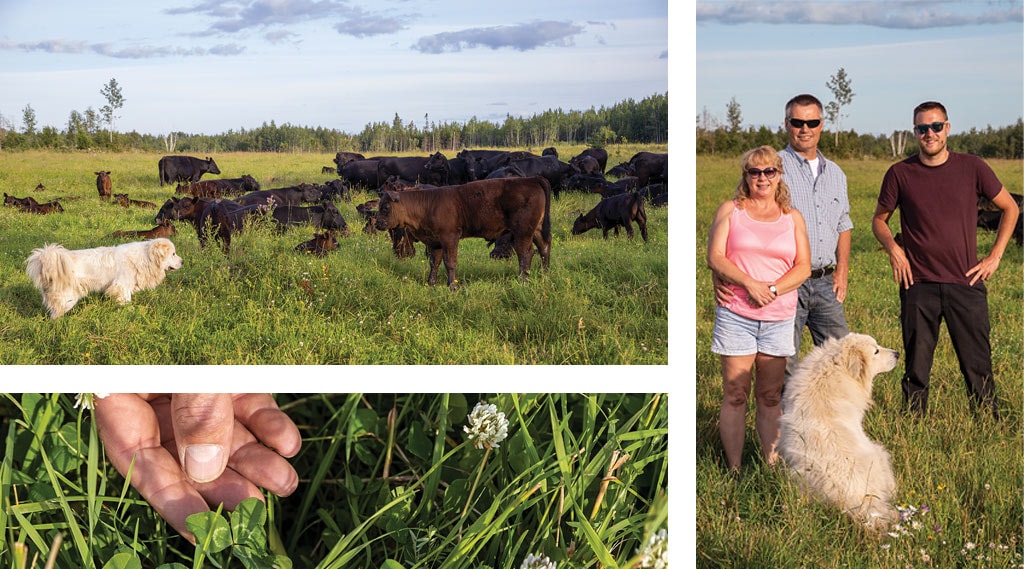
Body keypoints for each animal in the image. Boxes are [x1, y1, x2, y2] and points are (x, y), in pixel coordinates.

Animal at [26, 236, 184, 319]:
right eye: (173, 254)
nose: (183, 261)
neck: (147, 257)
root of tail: (48, 261)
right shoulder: (121, 286)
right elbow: (126, 301)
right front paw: (131, 311)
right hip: (67, 299)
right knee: (55, 314)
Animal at [374, 176, 552, 288]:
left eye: (386, 207)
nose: (378, 224)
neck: (428, 204)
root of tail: (532, 179)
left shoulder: (450, 238)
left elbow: (450, 262)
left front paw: (452, 286)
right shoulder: (435, 242)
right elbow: (434, 262)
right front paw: (431, 283)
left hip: (522, 232)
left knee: (526, 253)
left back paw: (522, 281)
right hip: (536, 230)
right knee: (544, 248)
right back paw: (544, 274)